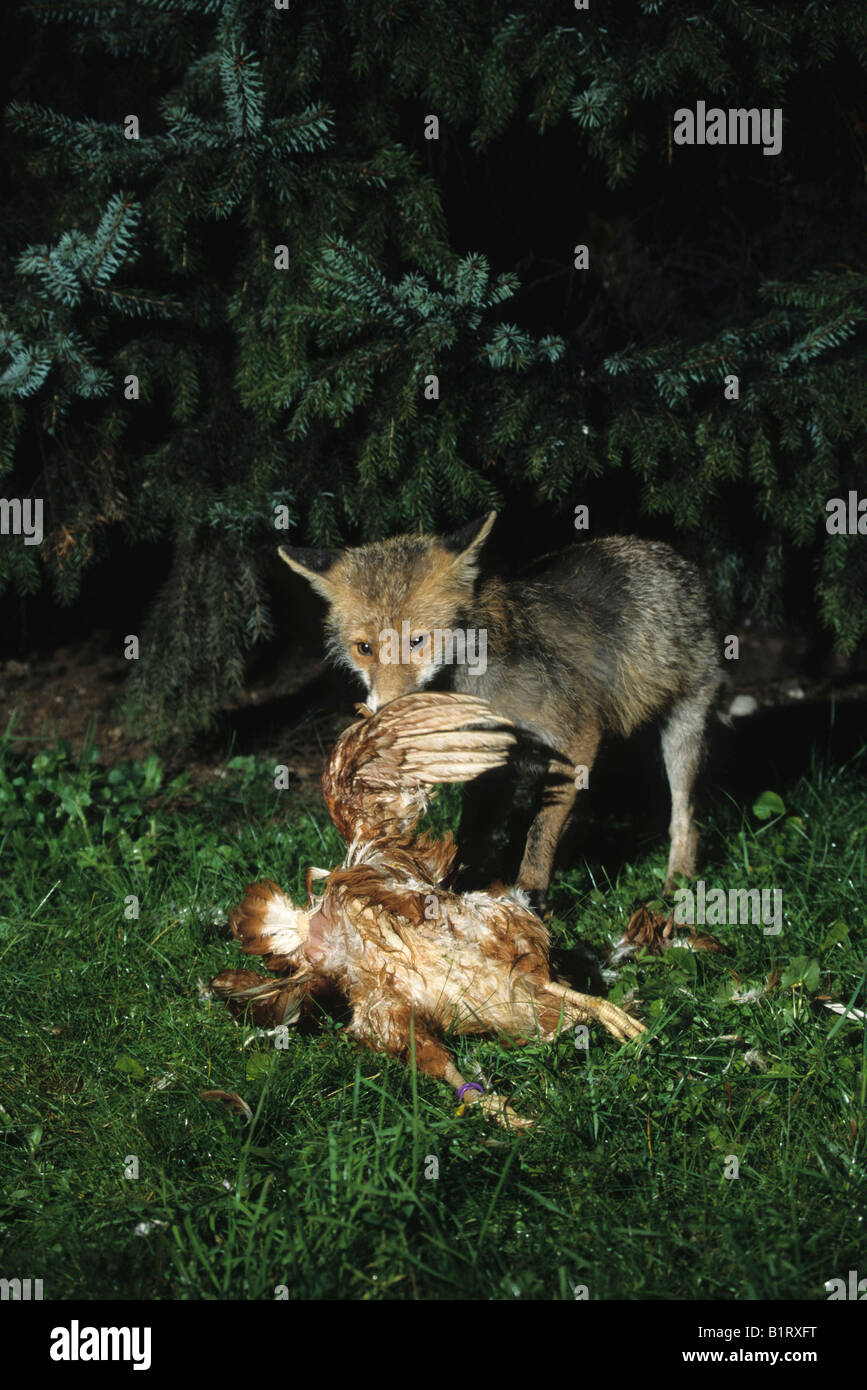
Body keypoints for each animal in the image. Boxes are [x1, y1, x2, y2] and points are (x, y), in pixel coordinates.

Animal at [280, 513, 722, 913]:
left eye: (417, 641)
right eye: (364, 648)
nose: (384, 712)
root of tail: (662, 552)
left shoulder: (579, 734)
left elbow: (541, 830)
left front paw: (530, 893)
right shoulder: (490, 758)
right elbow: (472, 835)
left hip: (683, 732)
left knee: (684, 817)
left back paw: (678, 883)